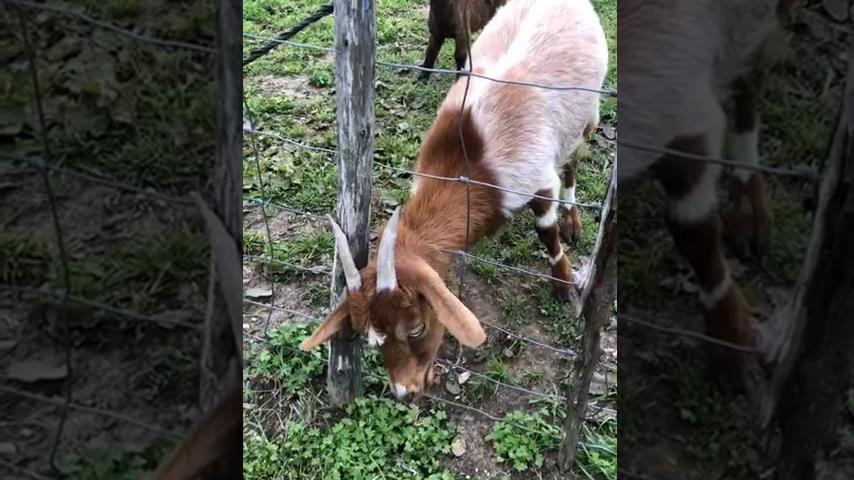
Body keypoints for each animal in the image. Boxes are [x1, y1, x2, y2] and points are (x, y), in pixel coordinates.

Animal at [302, 0, 608, 401]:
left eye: (416, 327)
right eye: (370, 338)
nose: (405, 392)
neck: (469, 163)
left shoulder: (537, 181)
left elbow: (546, 232)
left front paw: (565, 285)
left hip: (586, 114)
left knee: (572, 162)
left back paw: (573, 221)